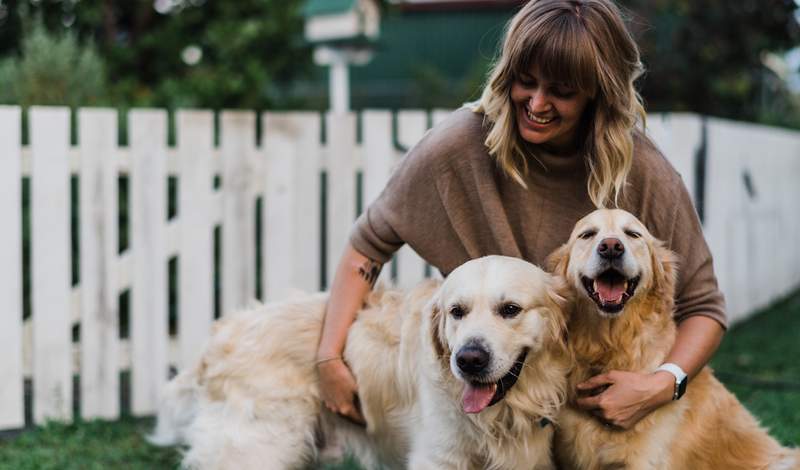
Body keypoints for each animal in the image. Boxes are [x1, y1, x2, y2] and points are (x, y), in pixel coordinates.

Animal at [150, 258, 572, 470]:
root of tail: (221, 332)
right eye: (457, 311)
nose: (468, 359)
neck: (500, 417)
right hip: (256, 450)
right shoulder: (439, 459)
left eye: (510, 309)